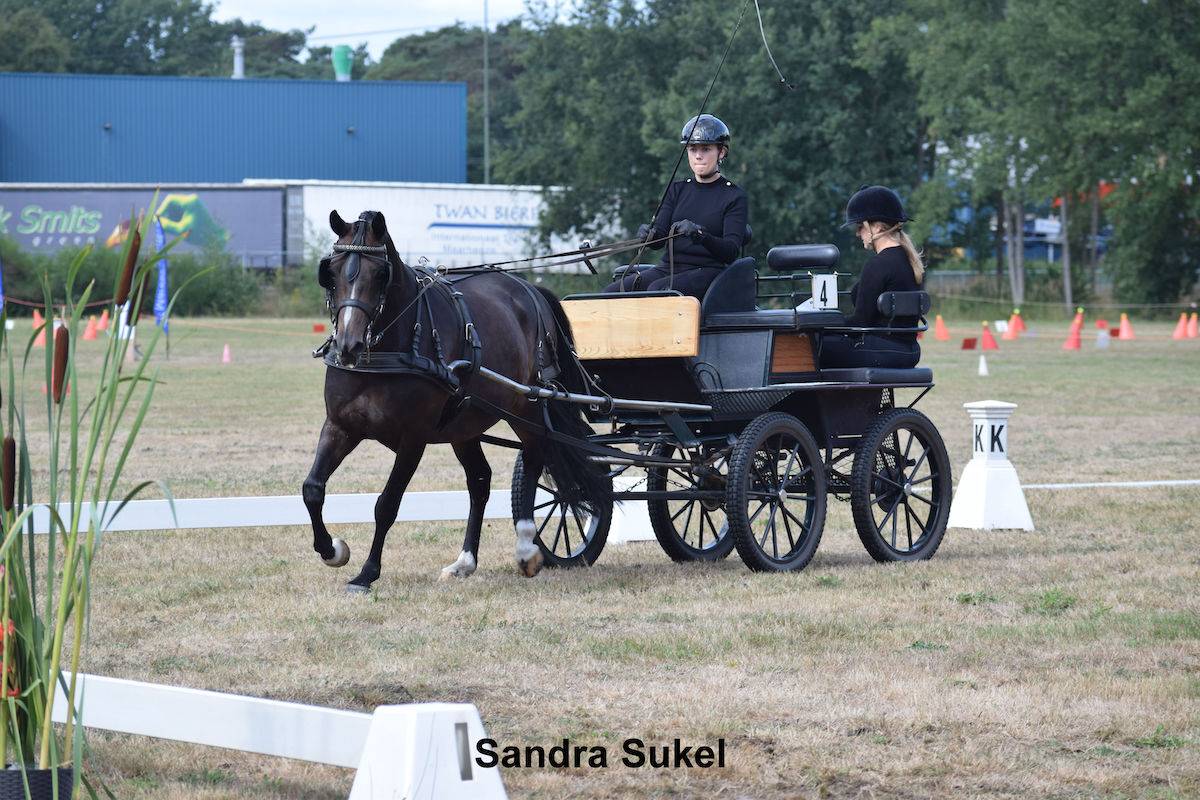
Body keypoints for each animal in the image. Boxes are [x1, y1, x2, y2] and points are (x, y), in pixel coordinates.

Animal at [302, 210, 610, 591]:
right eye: (331, 272)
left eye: (379, 275)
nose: (348, 346)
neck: (392, 347)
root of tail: (528, 289)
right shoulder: (340, 426)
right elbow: (312, 488)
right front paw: (332, 550)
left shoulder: (413, 438)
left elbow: (387, 504)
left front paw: (367, 573)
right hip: (465, 425)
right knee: (480, 481)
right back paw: (465, 562)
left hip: (528, 406)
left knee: (535, 457)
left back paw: (526, 549)